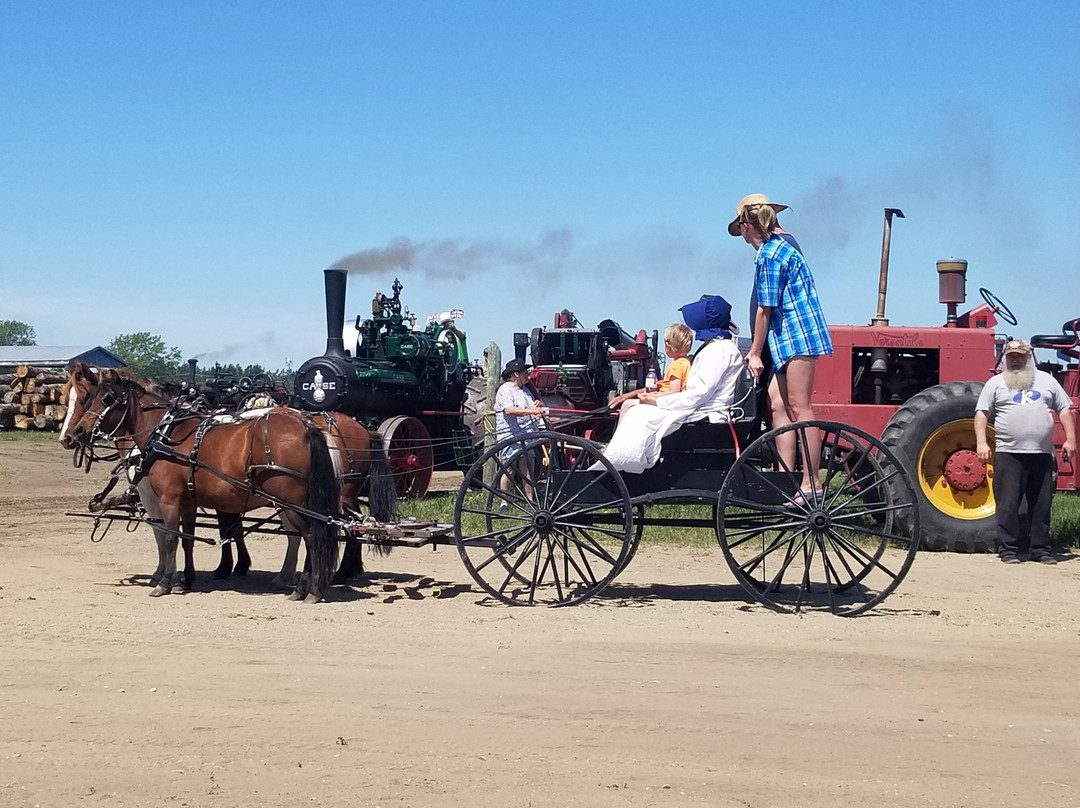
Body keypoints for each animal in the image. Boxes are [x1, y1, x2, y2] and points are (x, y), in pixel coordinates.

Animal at [65, 369, 341, 604]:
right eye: (90, 398)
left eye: (106, 398)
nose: (77, 432)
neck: (165, 435)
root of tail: (306, 427)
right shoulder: (188, 501)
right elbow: (187, 540)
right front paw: (185, 580)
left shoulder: (167, 499)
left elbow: (169, 537)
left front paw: (164, 583)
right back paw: (303, 587)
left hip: (291, 502)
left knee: (311, 537)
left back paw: (310, 590)